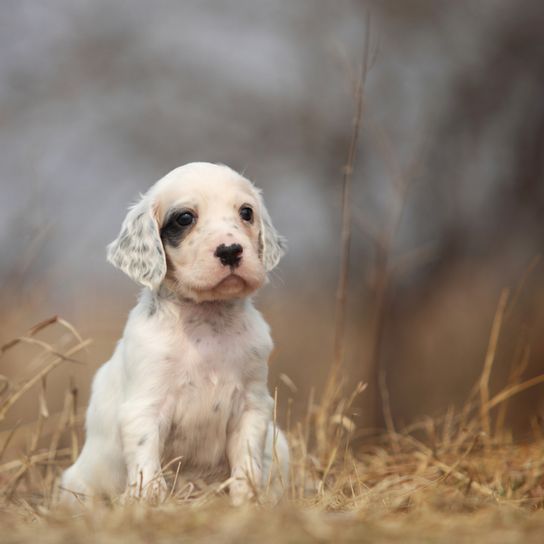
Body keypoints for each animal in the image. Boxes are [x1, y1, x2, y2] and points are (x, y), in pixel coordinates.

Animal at [58, 162, 288, 506]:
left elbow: (247, 463)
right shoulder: (144, 407)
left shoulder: (253, 405)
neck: (207, 322)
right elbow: (146, 464)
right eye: (185, 218)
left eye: (246, 212)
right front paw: (147, 502)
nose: (231, 251)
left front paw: (247, 501)